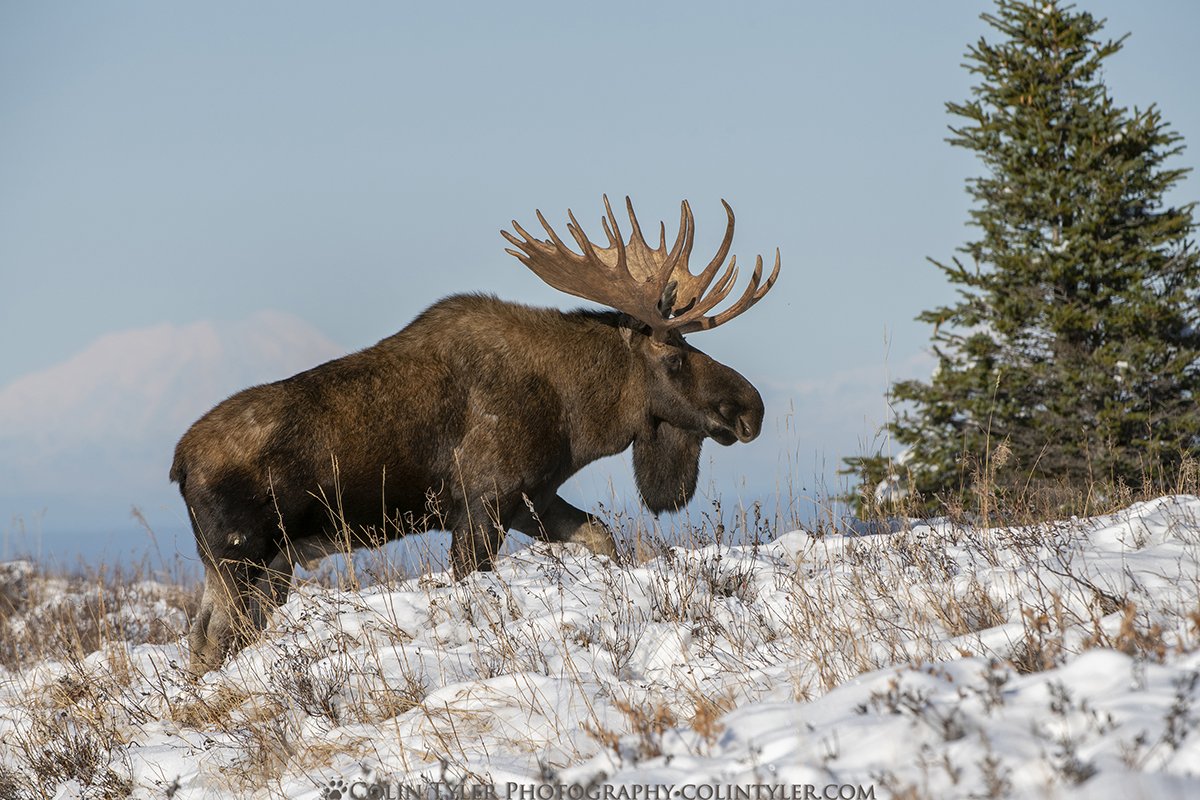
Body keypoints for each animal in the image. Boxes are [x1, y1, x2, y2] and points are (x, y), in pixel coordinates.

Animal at [172, 196, 781, 672]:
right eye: (675, 358)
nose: (751, 409)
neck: (575, 413)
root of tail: (177, 464)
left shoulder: (534, 497)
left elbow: (602, 539)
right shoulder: (484, 504)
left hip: (265, 563)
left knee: (208, 636)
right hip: (241, 557)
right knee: (213, 639)